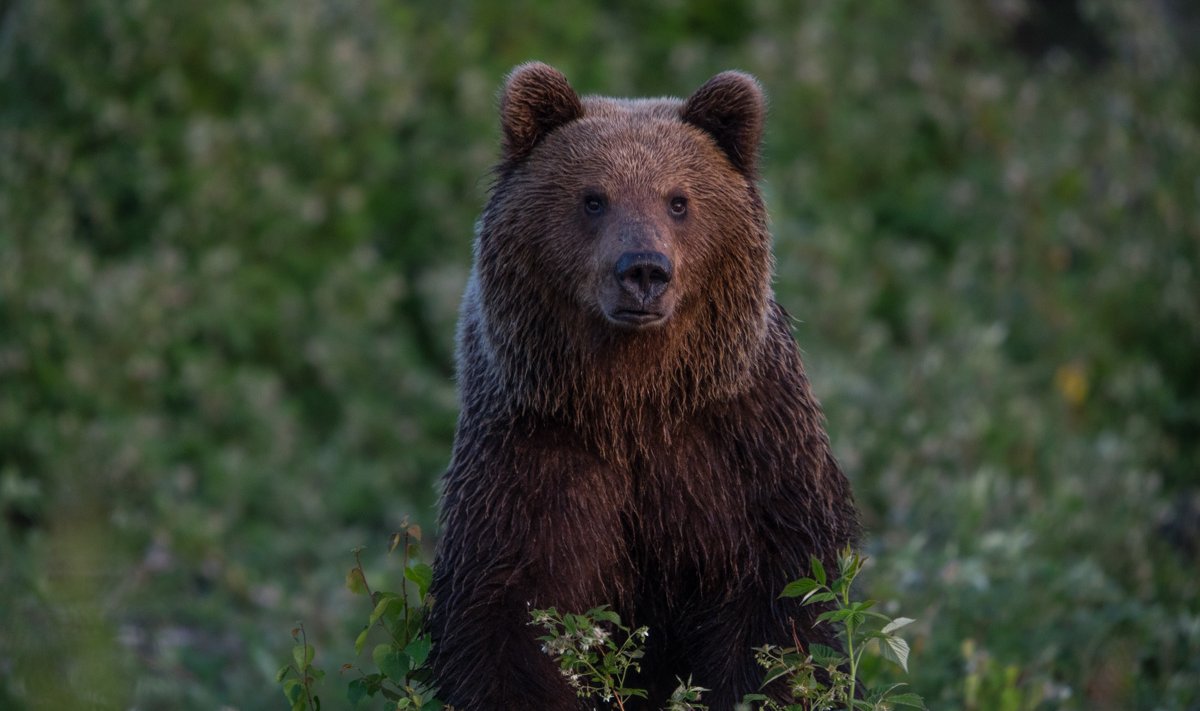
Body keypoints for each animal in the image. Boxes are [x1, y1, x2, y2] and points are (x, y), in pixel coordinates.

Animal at [432, 63, 864, 706]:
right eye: (593, 198)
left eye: (679, 200)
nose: (643, 270)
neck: (634, 398)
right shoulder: (532, 455)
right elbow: (505, 619)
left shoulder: (744, 451)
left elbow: (779, 614)